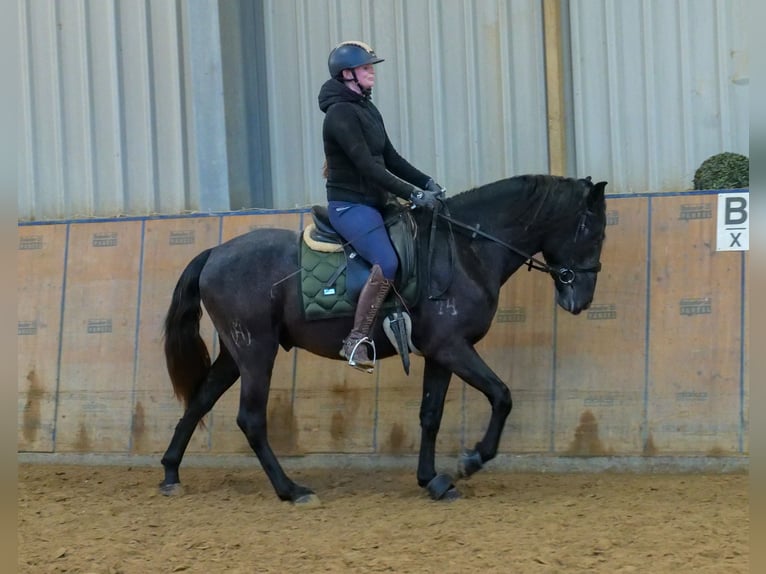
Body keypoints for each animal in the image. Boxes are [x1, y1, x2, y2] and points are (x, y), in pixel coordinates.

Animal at [159, 174, 608, 504]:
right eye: (594, 232)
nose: (581, 300)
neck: (465, 250)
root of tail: (215, 253)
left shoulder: (439, 354)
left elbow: (430, 414)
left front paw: (433, 481)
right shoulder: (453, 346)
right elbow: (502, 395)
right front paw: (471, 460)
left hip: (236, 353)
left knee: (200, 400)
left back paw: (170, 473)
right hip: (256, 351)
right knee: (250, 419)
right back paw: (292, 491)